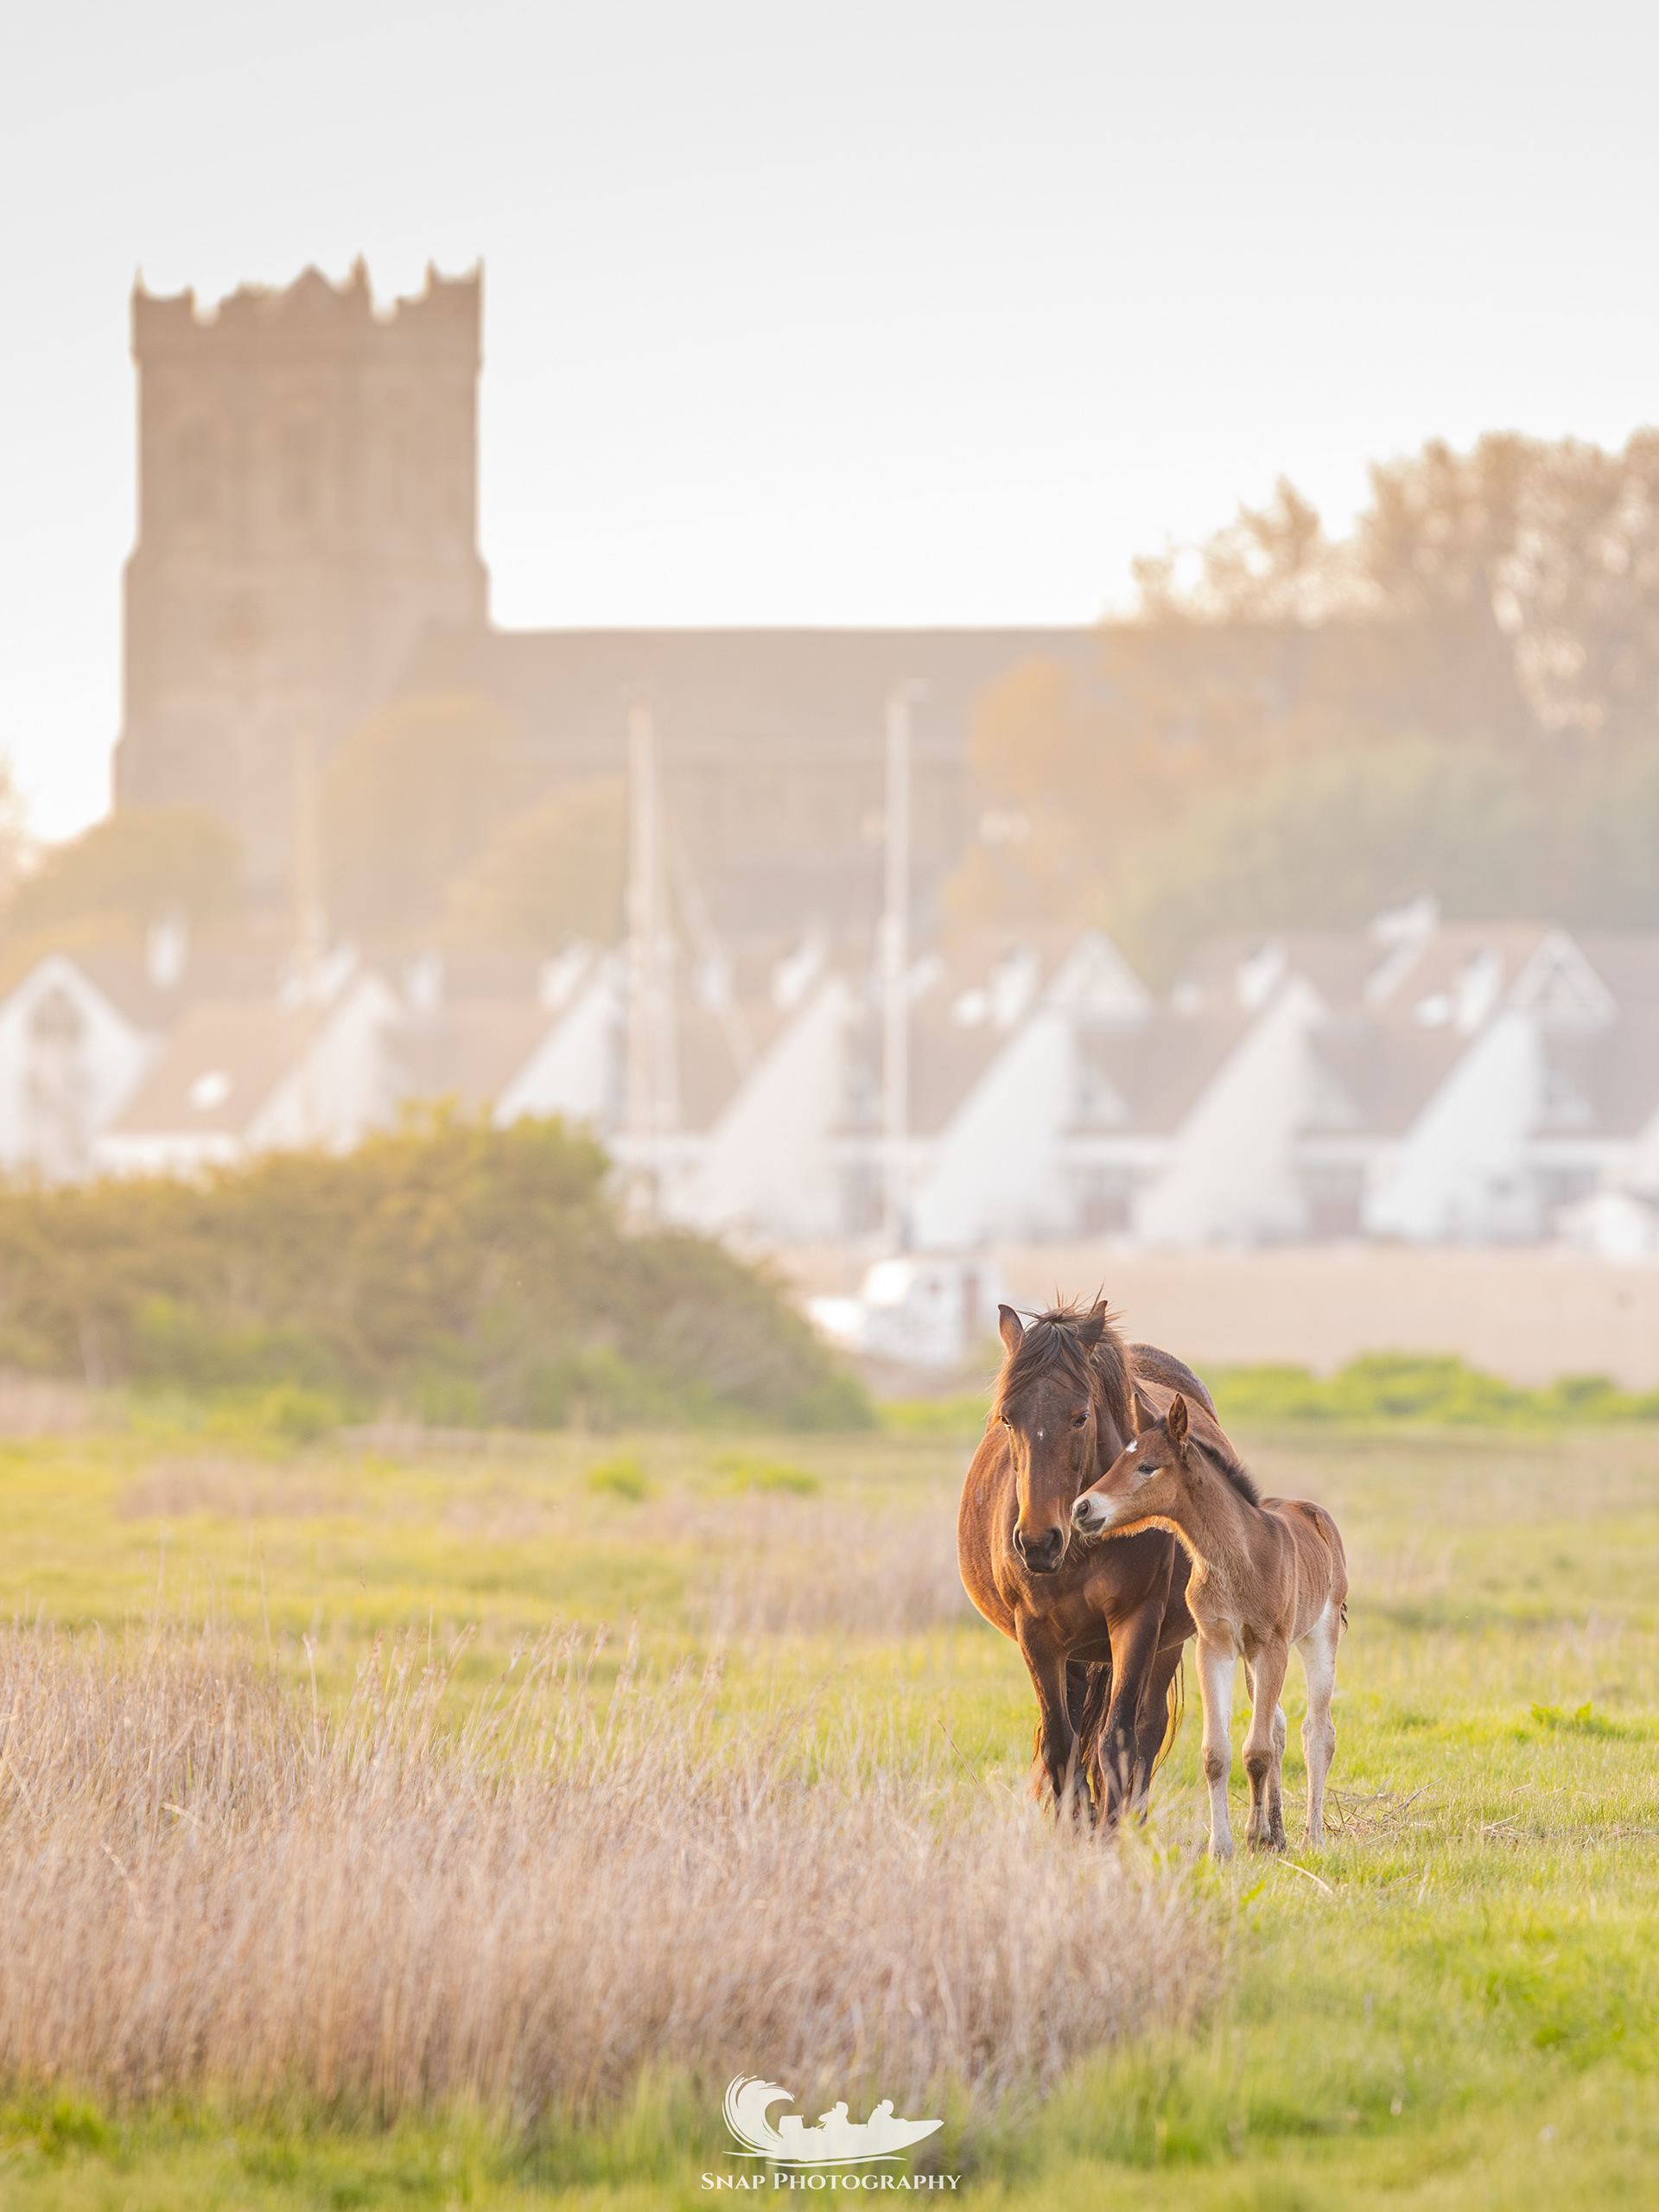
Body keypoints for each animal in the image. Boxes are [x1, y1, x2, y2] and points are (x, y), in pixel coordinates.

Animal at [956, 1299, 1214, 1824]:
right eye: (1007, 1419)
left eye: (1080, 1417)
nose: (1038, 1542)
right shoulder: (1036, 1633)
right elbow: (1061, 1742)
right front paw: (1075, 1823)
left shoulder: (1138, 1622)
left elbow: (1119, 1740)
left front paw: (1110, 1830)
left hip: (1167, 1641)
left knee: (1148, 1727)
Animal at [1073, 1390, 1348, 1859]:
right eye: (1119, 1459)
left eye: (1147, 1466)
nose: (1081, 1508)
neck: (1240, 1557)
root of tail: (1314, 1513)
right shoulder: (1214, 1645)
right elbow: (1218, 1753)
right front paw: (1224, 1846)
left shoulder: (1271, 1646)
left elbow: (1256, 1750)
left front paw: (1253, 1837)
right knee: (1279, 1727)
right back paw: (1280, 1834)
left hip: (1318, 1637)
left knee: (1318, 1731)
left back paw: (1312, 1837)